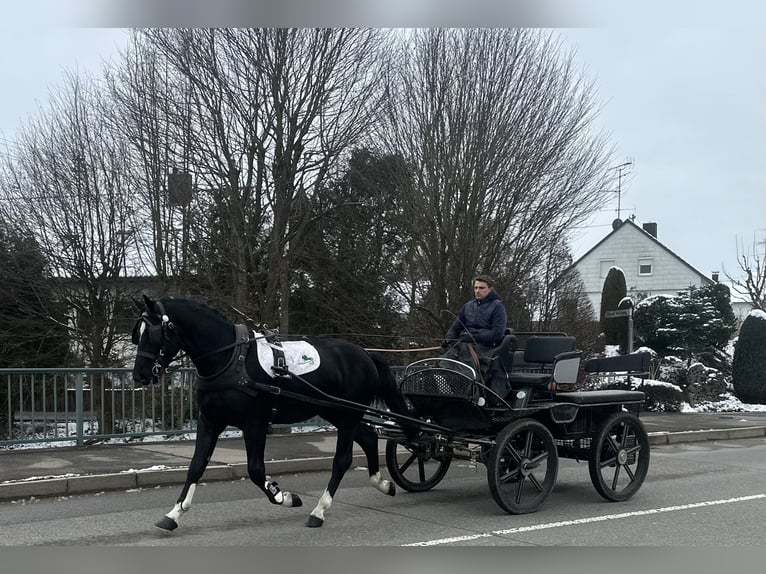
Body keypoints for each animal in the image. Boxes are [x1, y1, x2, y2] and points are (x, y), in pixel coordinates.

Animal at [135, 296, 416, 532]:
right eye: (136, 334)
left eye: (153, 333)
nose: (140, 374)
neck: (231, 359)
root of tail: (365, 355)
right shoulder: (211, 421)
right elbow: (196, 466)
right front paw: (174, 514)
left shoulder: (255, 423)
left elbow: (256, 470)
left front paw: (284, 496)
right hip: (336, 412)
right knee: (369, 438)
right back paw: (382, 483)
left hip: (346, 416)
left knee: (342, 460)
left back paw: (319, 510)